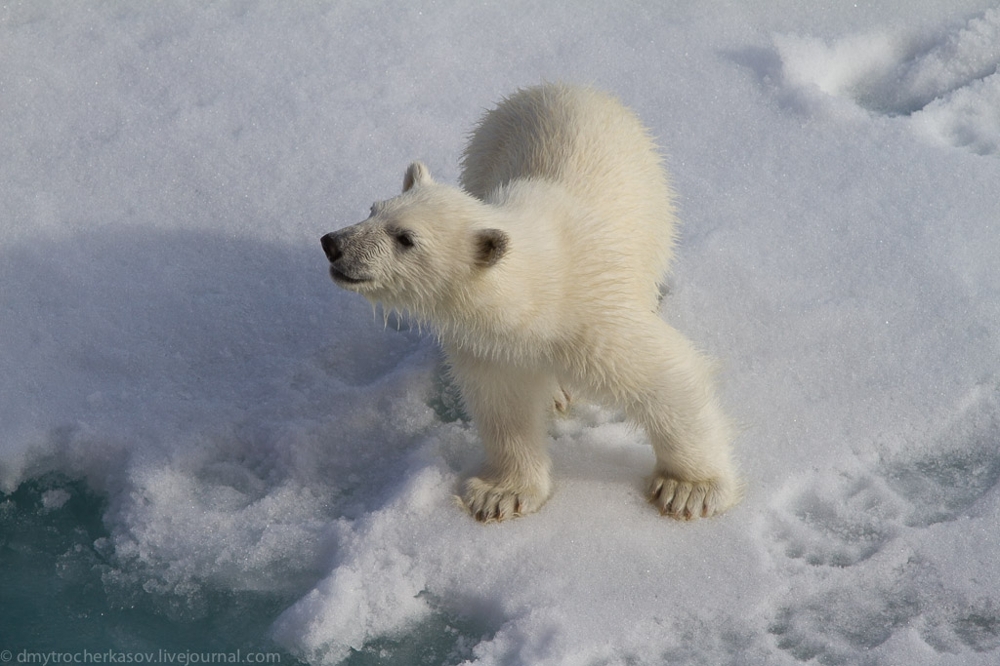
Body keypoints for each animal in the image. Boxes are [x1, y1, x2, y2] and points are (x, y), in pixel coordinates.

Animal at [324, 81, 740, 520]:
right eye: (373, 209)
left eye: (406, 238)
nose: (333, 244)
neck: (541, 295)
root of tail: (563, 86)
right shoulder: (493, 349)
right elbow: (507, 411)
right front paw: (498, 494)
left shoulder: (597, 320)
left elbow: (669, 378)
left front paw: (689, 489)